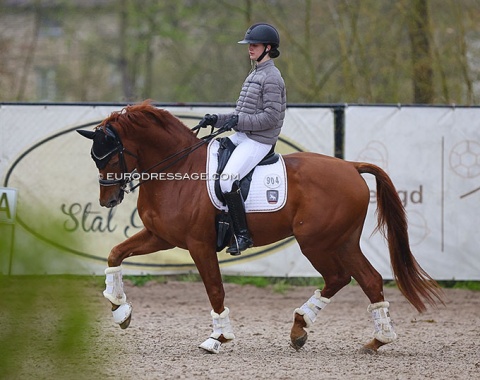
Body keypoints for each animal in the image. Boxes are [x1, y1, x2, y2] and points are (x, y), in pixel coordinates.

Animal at [79, 101, 442, 354]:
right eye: (96, 159)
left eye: (109, 158)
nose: (107, 200)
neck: (178, 168)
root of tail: (351, 167)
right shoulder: (161, 237)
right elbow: (115, 254)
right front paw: (119, 309)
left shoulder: (198, 244)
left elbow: (215, 289)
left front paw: (218, 337)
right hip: (342, 241)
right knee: (367, 279)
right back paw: (369, 339)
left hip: (317, 242)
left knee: (341, 277)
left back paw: (309, 328)